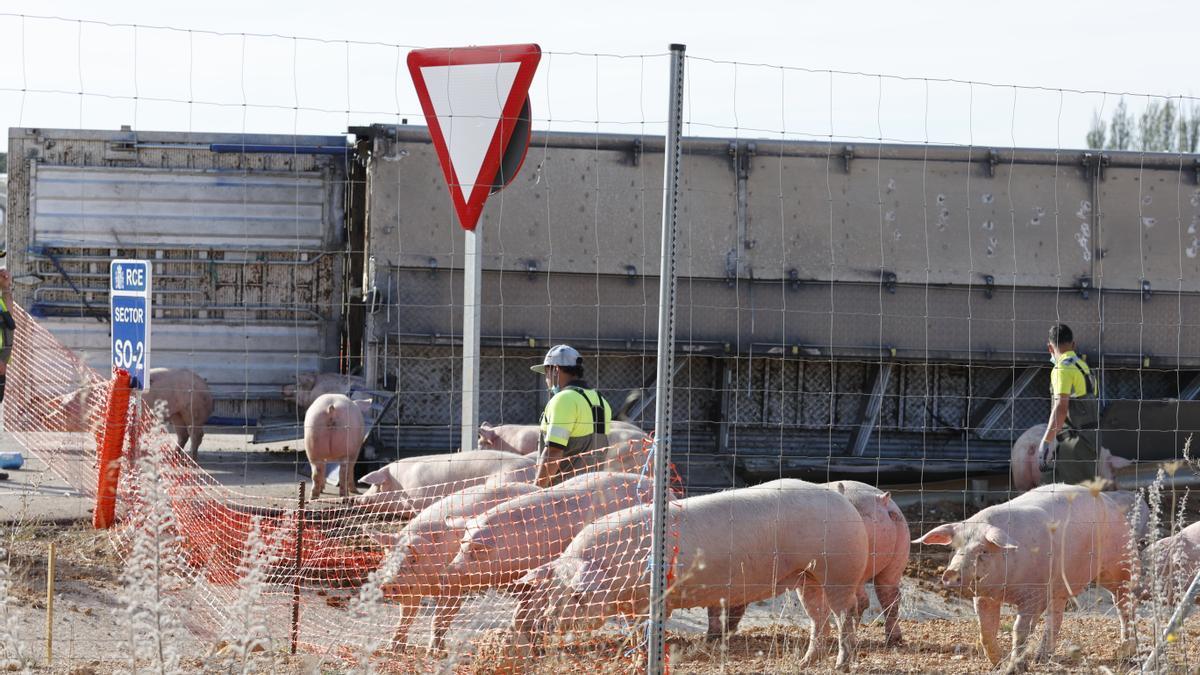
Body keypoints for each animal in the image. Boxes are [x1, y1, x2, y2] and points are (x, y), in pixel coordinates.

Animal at [364, 478, 535, 648]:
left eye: (413, 559)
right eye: (390, 558)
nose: (388, 584)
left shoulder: (453, 587)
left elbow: (439, 619)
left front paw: (434, 651)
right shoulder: (413, 592)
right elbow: (405, 617)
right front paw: (393, 649)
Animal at [520, 475, 868, 667]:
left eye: (576, 596)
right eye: (552, 591)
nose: (543, 621)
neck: (613, 570)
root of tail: (841, 499)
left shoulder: (654, 600)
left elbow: (648, 632)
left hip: (840, 570)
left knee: (845, 614)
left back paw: (841, 665)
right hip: (806, 576)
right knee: (818, 617)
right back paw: (805, 662)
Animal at [912, 480, 1147, 662]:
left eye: (983, 550)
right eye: (955, 547)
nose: (950, 574)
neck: (1006, 588)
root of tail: (1110, 501)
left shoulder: (1033, 592)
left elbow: (1020, 629)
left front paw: (1015, 663)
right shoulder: (985, 596)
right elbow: (986, 629)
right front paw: (998, 662)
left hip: (1121, 565)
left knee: (1125, 604)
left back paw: (1124, 651)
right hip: (1059, 587)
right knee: (1056, 617)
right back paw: (1041, 658)